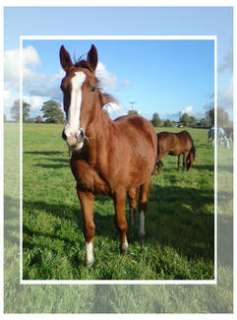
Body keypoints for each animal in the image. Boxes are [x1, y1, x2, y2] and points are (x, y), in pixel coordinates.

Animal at [59, 44, 157, 264]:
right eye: (62, 87)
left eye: (93, 88)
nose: (73, 136)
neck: (98, 154)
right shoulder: (83, 191)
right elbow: (89, 227)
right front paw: (89, 261)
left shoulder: (117, 191)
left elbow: (120, 223)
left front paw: (124, 249)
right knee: (133, 203)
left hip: (145, 179)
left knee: (143, 205)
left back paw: (141, 235)